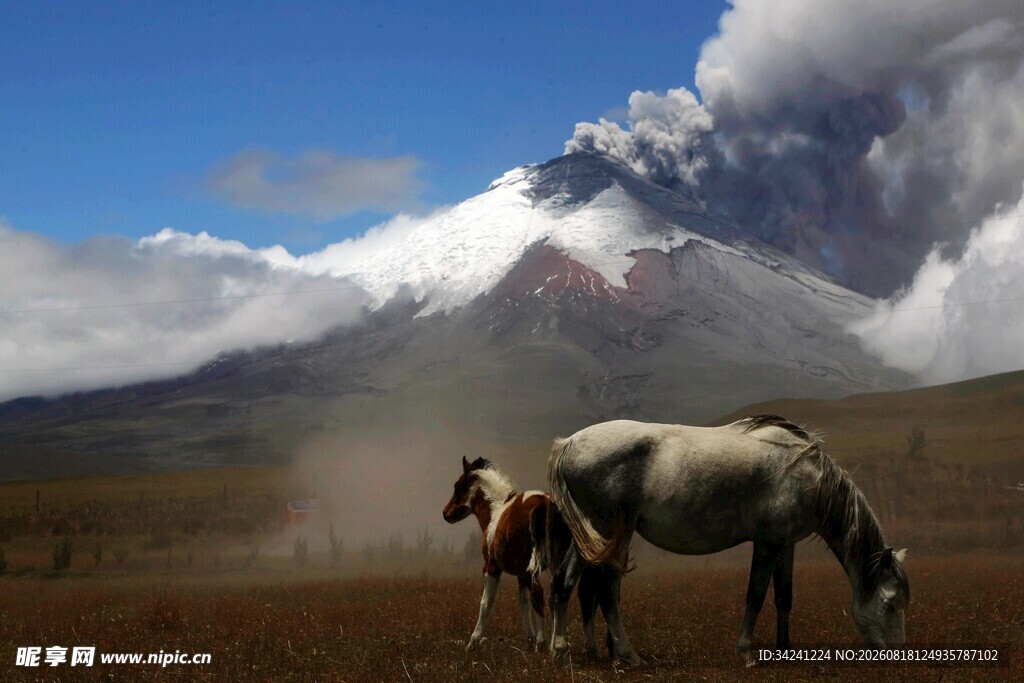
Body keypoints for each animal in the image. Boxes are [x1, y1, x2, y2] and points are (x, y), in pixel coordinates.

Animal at [443, 456, 551, 651]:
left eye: (457, 485)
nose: (445, 513)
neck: (495, 513)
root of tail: (542, 503)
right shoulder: (521, 573)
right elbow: (523, 602)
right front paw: (529, 639)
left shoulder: (491, 568)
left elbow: (486, 603)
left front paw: (472, 643)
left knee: (539, 595)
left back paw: (542, 643)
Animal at [547, 415, 910, 665]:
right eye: (890, 604)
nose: (897, 655)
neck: (809, 475)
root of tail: (569, 443)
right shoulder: (767, 543)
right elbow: (756, 595)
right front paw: (746, 651)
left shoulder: (786, 545)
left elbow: (784, 597)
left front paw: (785, 649)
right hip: (610, 532)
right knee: (606, 587)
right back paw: (626, 653)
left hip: (592, 536)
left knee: (564, 582)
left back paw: (561, 648)